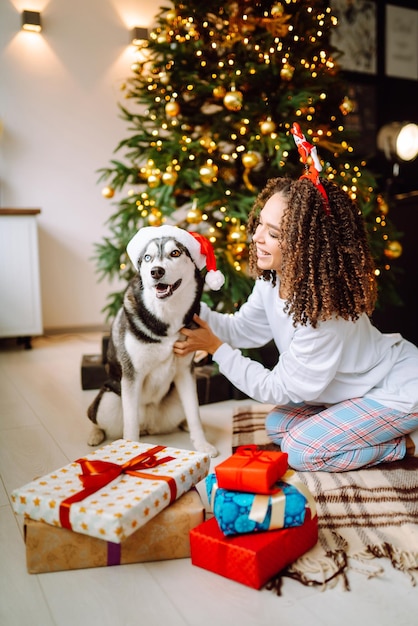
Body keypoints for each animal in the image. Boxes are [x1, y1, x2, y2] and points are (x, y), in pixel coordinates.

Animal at [86, 224, 224, 454]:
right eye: (148, 257)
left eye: (175, 253)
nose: (156, 271)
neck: (166, 315)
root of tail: (150, 425)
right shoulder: (131, 376)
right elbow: (130, 425)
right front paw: (131, 449)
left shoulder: (185, 372)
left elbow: (194, 413)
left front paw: (202, 443)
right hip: (108, 399)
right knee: (95, 417)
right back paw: (94, 434)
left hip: (176, 395)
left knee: (188, 412)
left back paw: (185, 425)